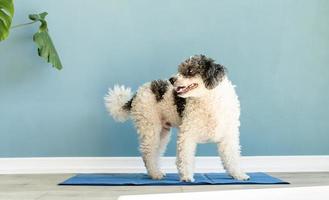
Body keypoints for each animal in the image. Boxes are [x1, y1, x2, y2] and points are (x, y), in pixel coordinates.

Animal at [105, 54, 249, 181]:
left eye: (190, 70)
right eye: (180, 69)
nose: (171, 79)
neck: (209, 101)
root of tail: (137, 93)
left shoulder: (229, 136)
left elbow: (232, 157)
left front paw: (238, 175)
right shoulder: (187, 134)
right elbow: (185, 157)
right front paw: (186, 177)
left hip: (162, 133)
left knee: (156, 152)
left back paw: (157, 172)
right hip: (150, 128)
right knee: (148, 153)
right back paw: (155, 174)